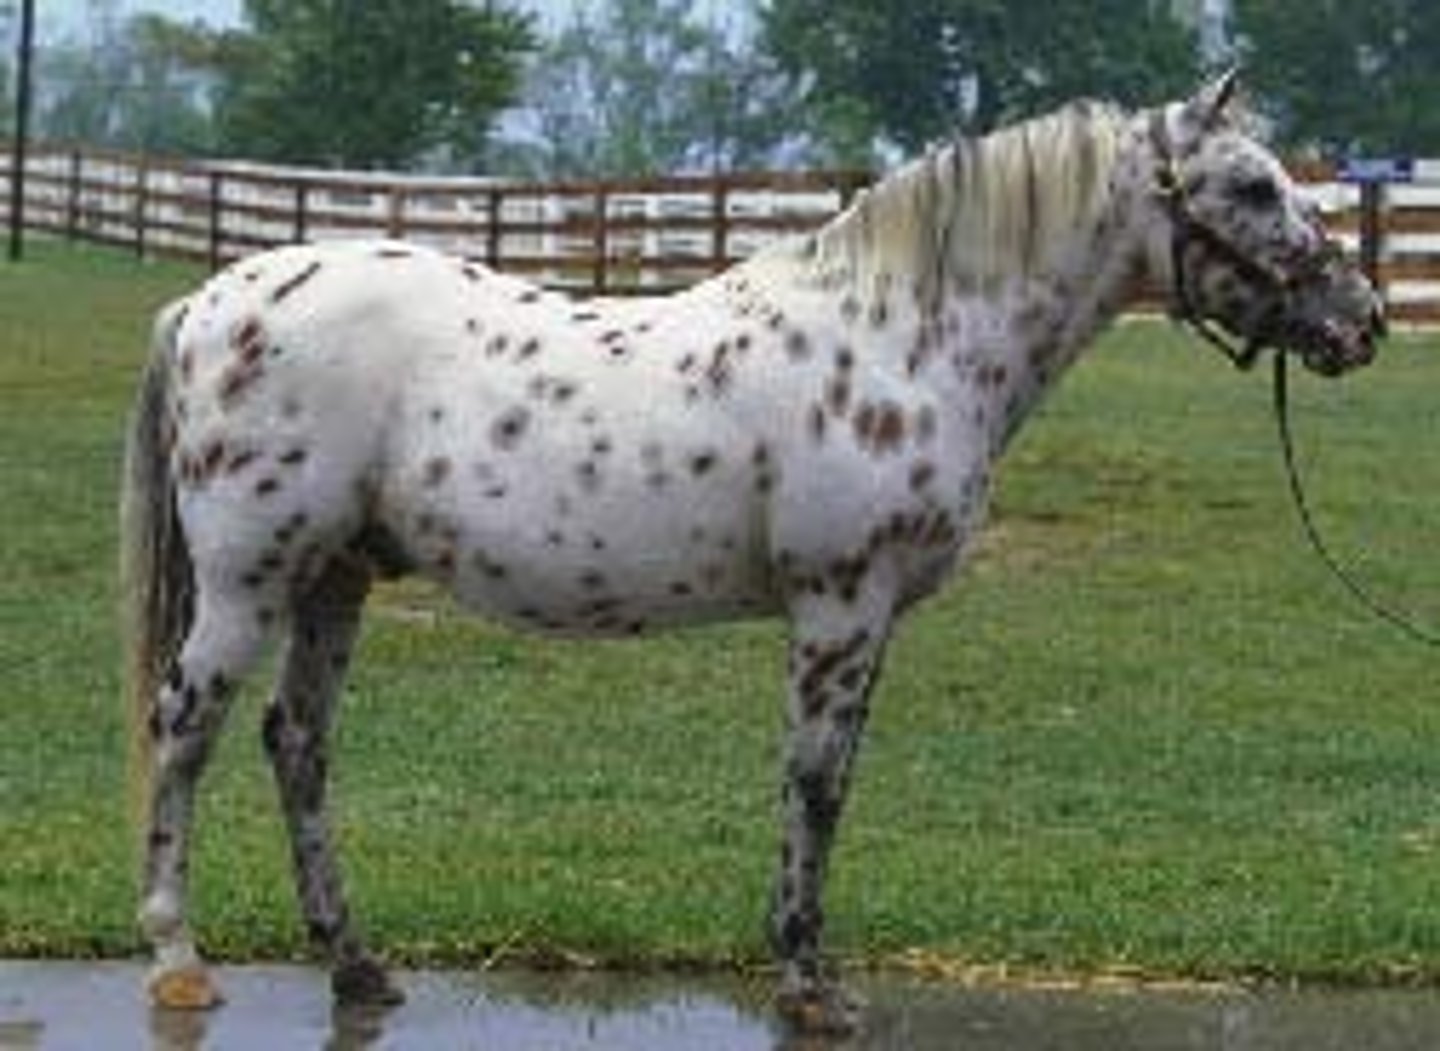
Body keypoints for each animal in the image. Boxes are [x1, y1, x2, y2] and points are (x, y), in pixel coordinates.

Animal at [121, 72, 1383, 1034]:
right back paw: (178, 959)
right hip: (248, 580)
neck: (907, 338)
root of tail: (207, 302)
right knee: (185, 729)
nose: (1361, 319)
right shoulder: (840, 605)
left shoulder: (866, 619)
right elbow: (815, 781)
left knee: (298, 743)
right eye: (1251, 186)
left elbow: (831, 781)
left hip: (334, 578)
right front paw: (810, 983)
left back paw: (357, 964)